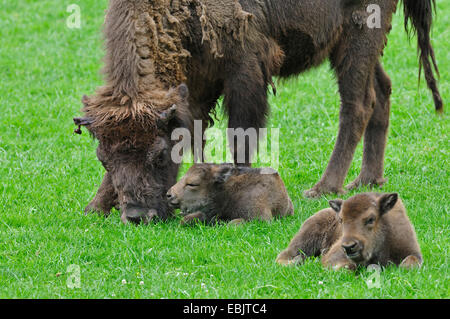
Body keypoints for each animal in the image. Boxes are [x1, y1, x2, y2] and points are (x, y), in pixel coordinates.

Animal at [74, 0, 442, 222]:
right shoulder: (195, 85)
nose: (138, 215)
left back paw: (324, 188)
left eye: (160, 155)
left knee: (358, 104)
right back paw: (366, 180)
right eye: (104, 159)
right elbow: (196, 134)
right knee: (382, 91)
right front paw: (95, 206)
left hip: (360, 33)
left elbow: (241, 135)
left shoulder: (245, 68)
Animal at [276, 194, 424, 272]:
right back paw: (299, 261)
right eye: (341, 219)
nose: (349, 246)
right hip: (303, 242)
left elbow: (409, 263)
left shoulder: (413, 251)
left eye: (371, 219)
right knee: (284, 256)